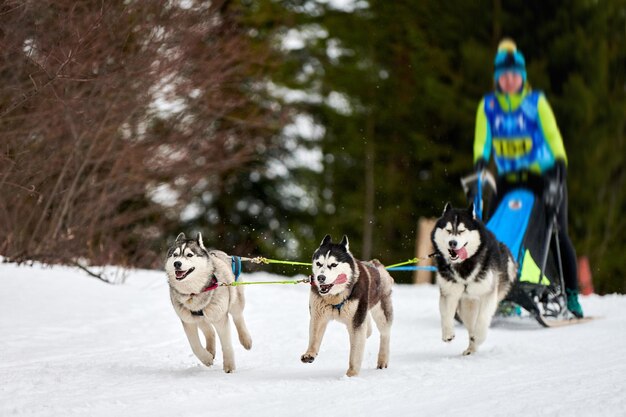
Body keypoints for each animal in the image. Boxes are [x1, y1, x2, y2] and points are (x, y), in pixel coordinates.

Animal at [166, 232, 254, 372]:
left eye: (189, 255)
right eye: (175, 254)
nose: (177, 263)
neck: (194, 293)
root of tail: (222, 253)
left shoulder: (220, 319)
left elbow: (227, 345)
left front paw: (230, 367)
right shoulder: (188, 321)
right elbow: (195, 346)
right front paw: (206, 358)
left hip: (235, 301)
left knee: (238, 317)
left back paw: (246, 340)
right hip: (201, 318)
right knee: (209, 331)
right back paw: (210, 350)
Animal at [300, 234, 392, 376]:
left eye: (333, 264)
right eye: (319, 263)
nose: (320, 277)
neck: (336, 297)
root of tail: (376, 263)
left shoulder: (356, 323)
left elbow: (355, 352)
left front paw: (352, 374)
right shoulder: (319, 316)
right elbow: (314, 337)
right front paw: (310, 353)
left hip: (381, 312)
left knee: (385, 334)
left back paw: (383, 360)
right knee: (368, 330)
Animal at [432, 203, 516, 352]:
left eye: (462, 230)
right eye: (448, 230)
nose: (452, 243)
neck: (464, 265)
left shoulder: (488, 293)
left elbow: (482, 318)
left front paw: (479, 336)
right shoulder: (449, 293)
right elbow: (446, 314)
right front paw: (448, 333)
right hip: (466, 308)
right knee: (470, 326)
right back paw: (471, 349)